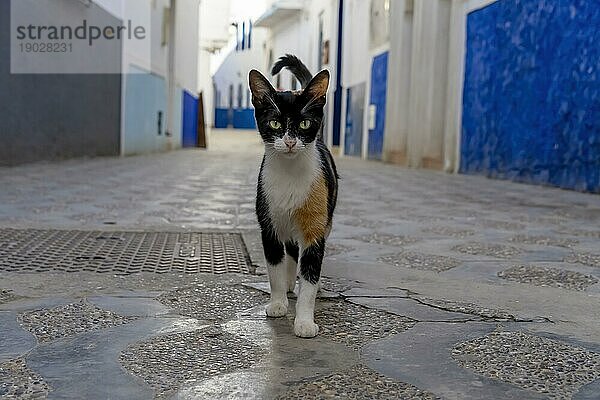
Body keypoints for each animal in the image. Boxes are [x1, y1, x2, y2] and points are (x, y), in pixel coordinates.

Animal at [247, 54, 338, 338]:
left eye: (304, 123)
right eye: (275, 122)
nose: (289, 142)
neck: (289, 174)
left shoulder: (315, 228)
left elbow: (310, 273)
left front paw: (305, 321)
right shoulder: (269, 224)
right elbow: (274, 268)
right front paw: (278, 303)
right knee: (289, 250)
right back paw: (289, 283)